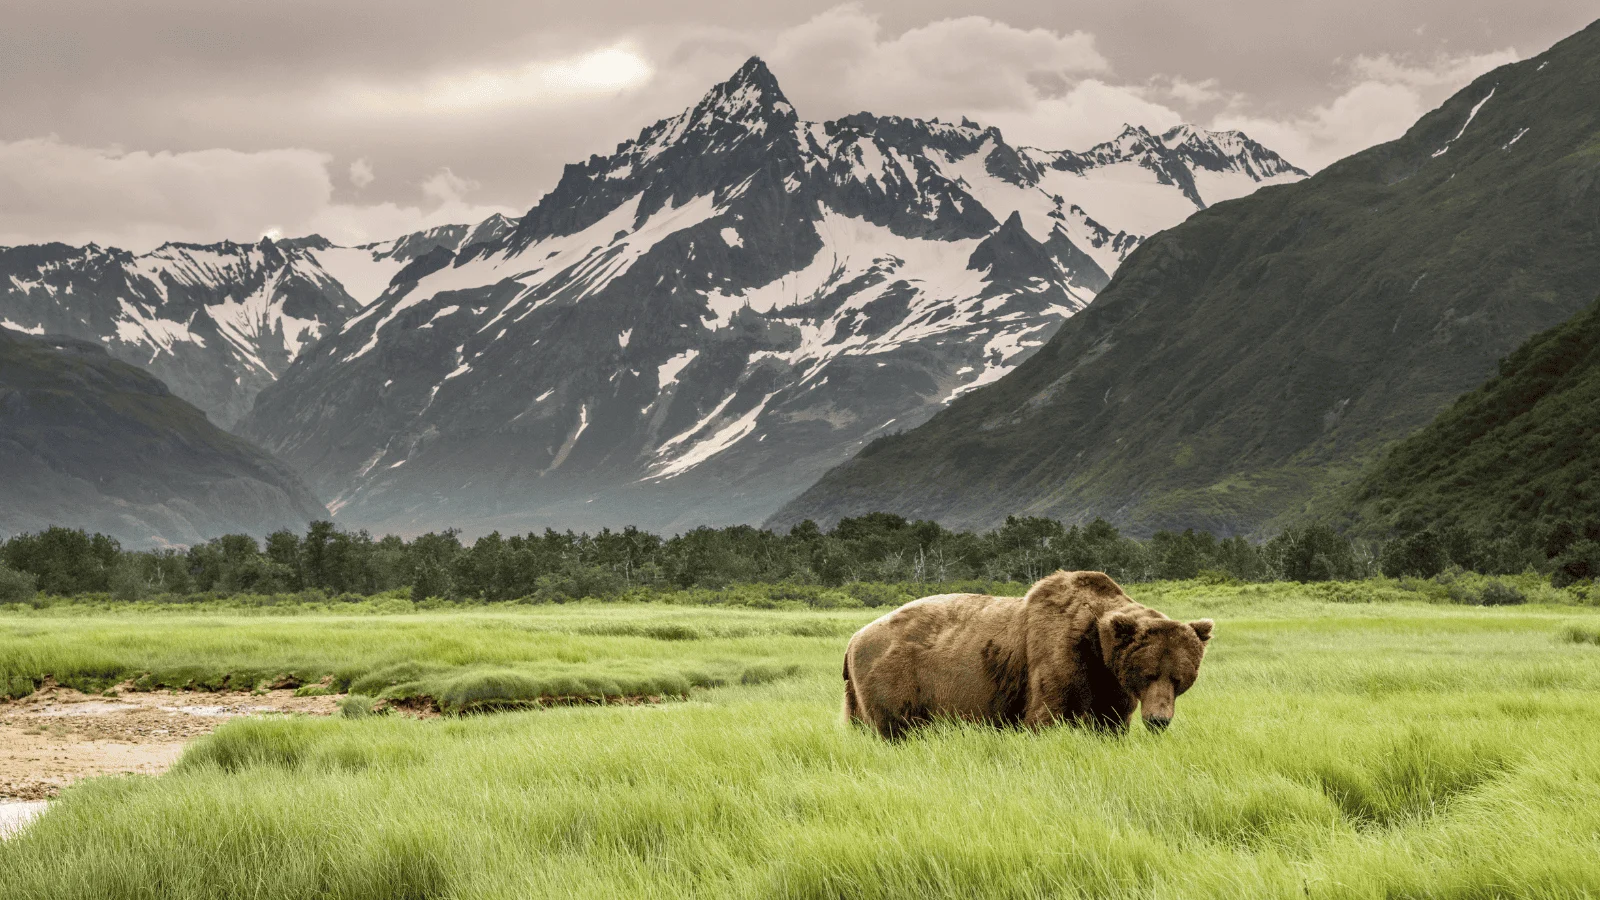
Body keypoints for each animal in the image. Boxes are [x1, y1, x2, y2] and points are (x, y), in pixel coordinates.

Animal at [844, 566, 1203, 736]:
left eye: (1179, 678)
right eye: (1149, 673)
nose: (1158, 721)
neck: (1098, 649)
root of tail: (854, 638)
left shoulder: (1109, 683)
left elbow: (1111, 721)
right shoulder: (1057, 656)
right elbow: (1046, 716)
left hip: (857, 695)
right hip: (898, 677)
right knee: (895, 727)